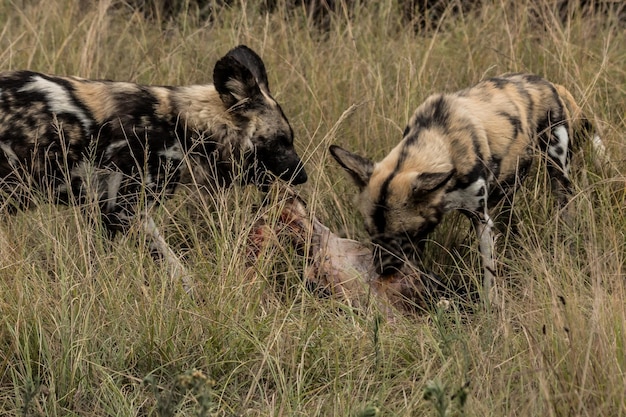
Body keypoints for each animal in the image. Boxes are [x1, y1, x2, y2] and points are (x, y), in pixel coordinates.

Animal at [330, 73, 604, 304]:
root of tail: (547, 82)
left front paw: (491, 313)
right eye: (370, 233)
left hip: (558, 171)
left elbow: (488, 278)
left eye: (402, 235)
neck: (441, 141)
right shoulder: (424, 232)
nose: (383, 271)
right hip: (509, 187)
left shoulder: (480, 219)